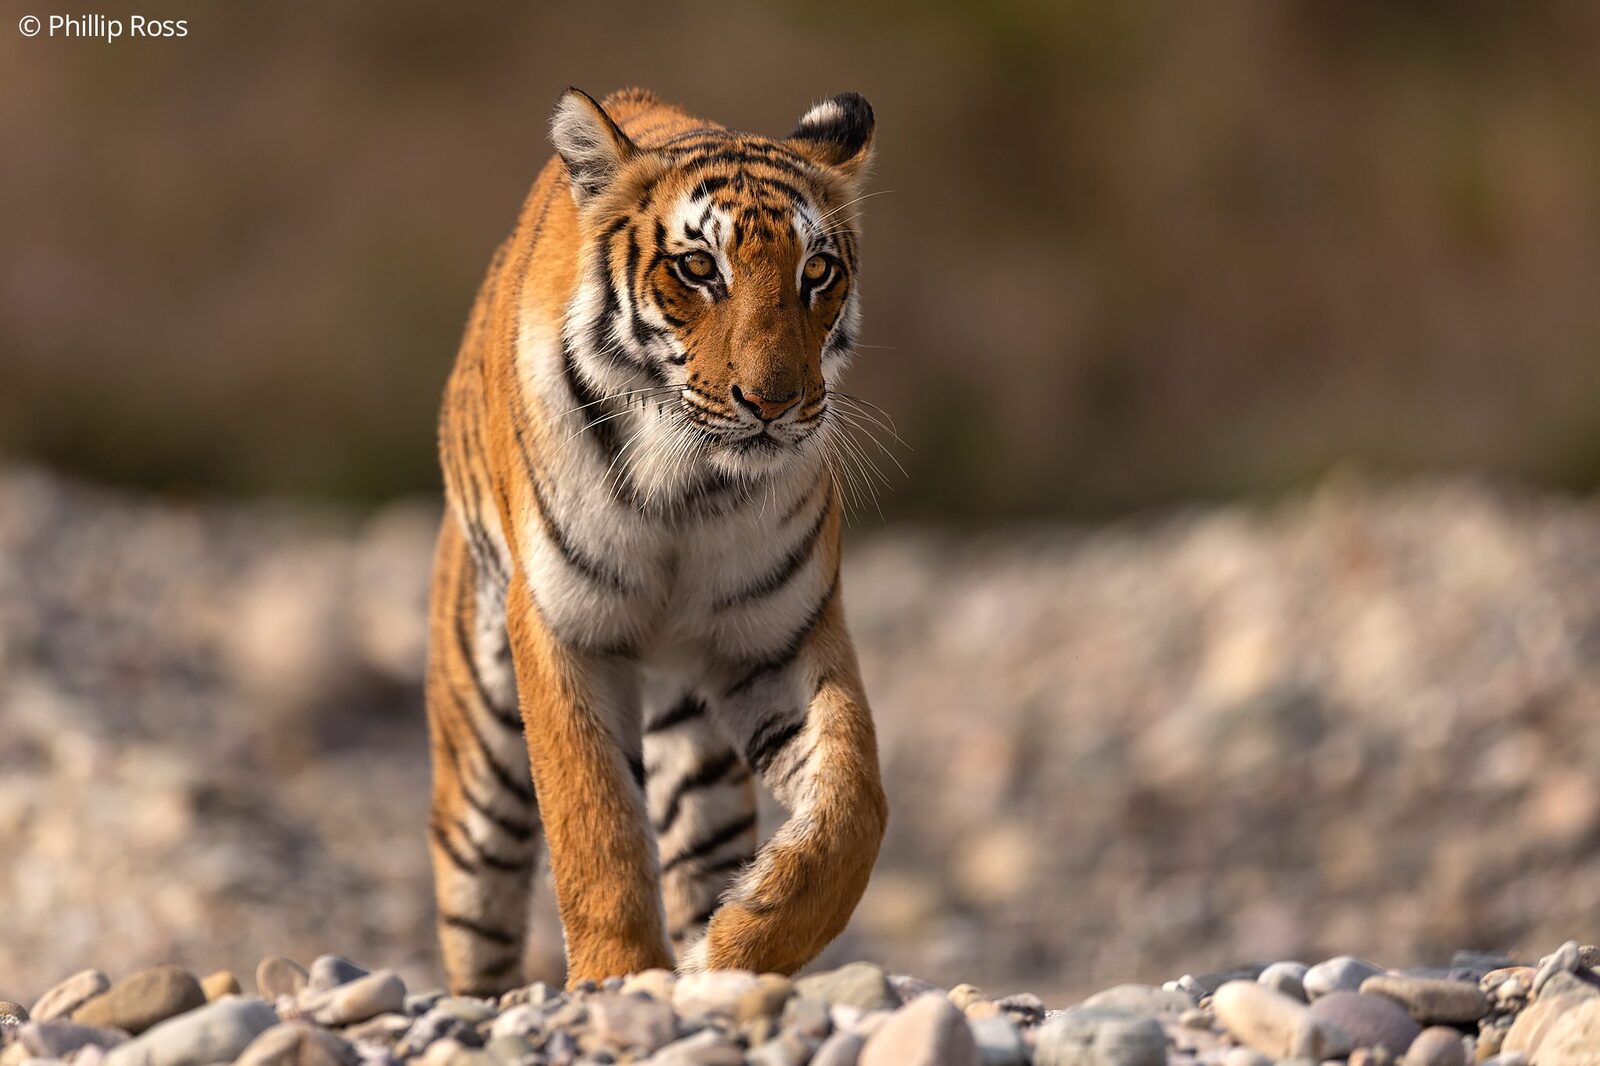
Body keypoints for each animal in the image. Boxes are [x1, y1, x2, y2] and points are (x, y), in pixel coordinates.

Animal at [424, 86, 889, 995]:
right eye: (700, 269)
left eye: (817, 271)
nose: (774, 402)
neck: (688, 488)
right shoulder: (563, 629)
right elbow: (594, 821)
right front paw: (617, 978)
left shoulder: (782, 639)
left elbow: (854, 802)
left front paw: (744, 937)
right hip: (479, 756)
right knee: (477, 916)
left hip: (699, 757)